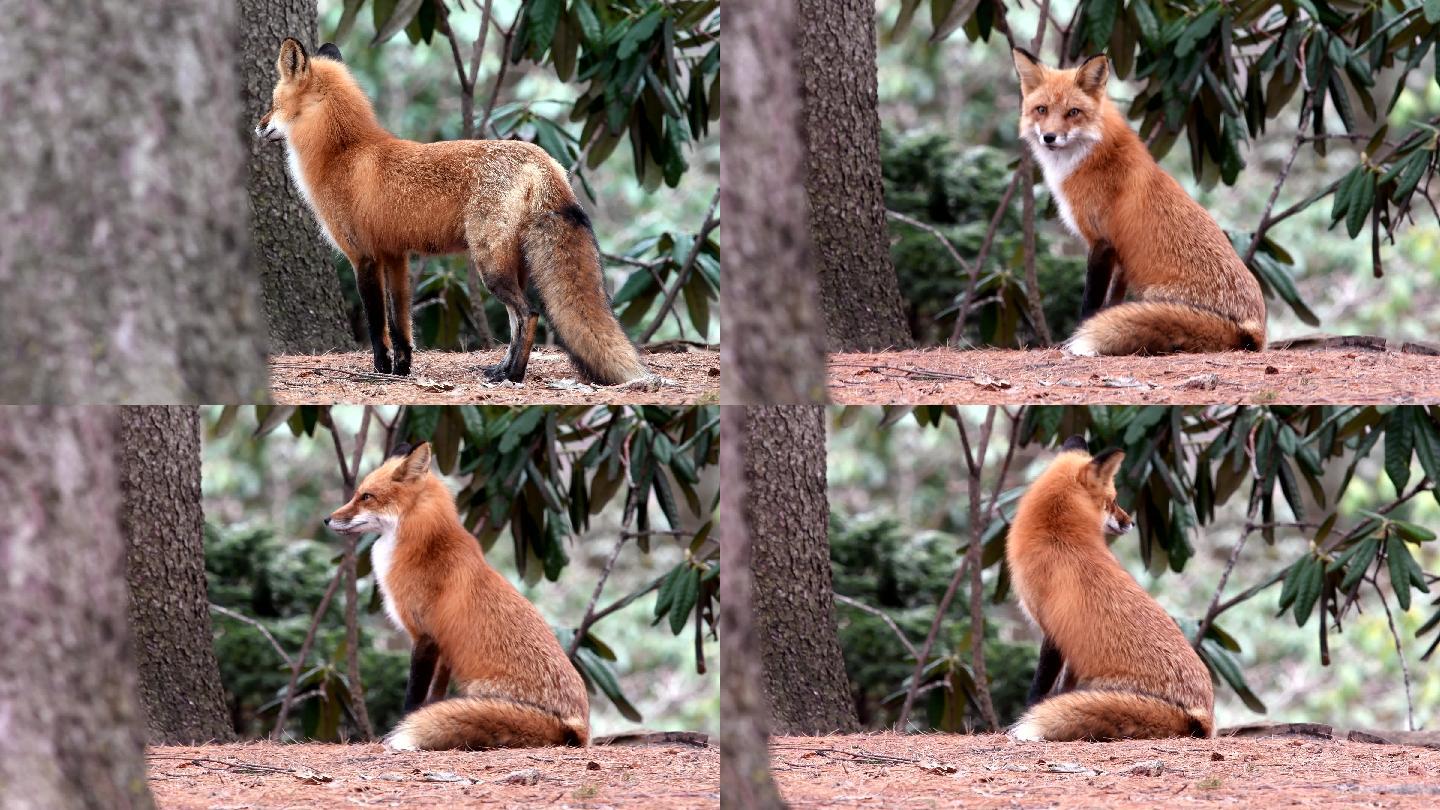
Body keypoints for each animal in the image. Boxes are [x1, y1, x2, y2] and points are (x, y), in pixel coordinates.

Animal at [253, 39, 648, 386]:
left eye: (273, 102)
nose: (258, 127)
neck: (343, 153)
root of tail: (544, 160)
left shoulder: (363, 256)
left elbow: (377, 324)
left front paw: (380, 370)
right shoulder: (395, 255)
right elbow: (401, 324)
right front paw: (402, 371)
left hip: (490, 266)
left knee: (528, 314)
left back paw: (514, 376)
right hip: (511, 264)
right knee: (516, 320)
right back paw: (501, 369)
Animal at [326, 438, 590, 749]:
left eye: (366, 496)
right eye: (357, 494)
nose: (326, 520)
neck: (424, 545)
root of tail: (578, 729)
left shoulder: (424, 636)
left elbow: (413, 698)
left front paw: (398, 729)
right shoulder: (443, 647)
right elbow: (434, 697)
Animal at [1002, 435, 1215, 737]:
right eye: (1113, 501)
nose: (1131, 522)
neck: (1058, 535)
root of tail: (1203, 719)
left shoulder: (1051, 628)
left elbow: (1040, 687)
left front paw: (1025, 713)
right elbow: (1060, 687)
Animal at [1008, 49, 1267, 354]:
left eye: (1073, 112)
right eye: (1042, 110)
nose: (1049, 137)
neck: (1092, 157)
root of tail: (1254, 333)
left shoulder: (1102, 241)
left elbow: (1091, 303)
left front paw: (1074, 337)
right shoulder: (1121, 257)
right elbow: (1111, 304)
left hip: (1153, 294)